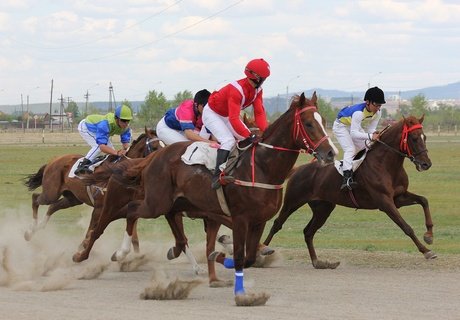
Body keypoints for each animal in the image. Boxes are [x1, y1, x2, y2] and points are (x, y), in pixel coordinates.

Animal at [23, 127, 164, 248]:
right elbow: (91, 231)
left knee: (53, 207)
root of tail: (53, 160)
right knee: (36, 198)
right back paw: (30, 229)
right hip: (51, 193)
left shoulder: (128, 208)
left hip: (73, 198)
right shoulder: (99, 208)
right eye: (155, 147)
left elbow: (134, 238)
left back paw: (37, 228)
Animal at [73, 92, 336, 304]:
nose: (331, 153)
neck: (261, 167)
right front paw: (235, 285)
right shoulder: (238, 217)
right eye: (310, 123)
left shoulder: (252, 220)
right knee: (119, 217)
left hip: (168, 205)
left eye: (323, 122)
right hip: (147, 203)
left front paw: (220, 262)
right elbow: (238, 255)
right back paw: (95, 255)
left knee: (157, 227)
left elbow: (246, 256)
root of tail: (150, 159)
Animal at [262, 115, 434, 270]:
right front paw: (426, 251)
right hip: (293, 202)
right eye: (413, 138)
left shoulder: (398, 197)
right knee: (277, 224)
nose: (426, 164)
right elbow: (406, 227)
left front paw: (429, 235)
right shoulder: (384, 202)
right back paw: (262, 253)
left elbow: (424, 200)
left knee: (308, 232)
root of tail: (298, 169)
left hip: (323, 208)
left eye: (424, 137)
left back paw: (318, 262)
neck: (386, 165)